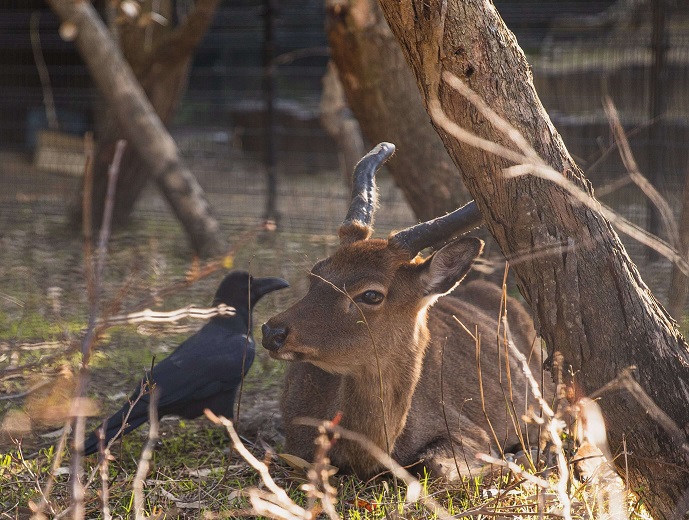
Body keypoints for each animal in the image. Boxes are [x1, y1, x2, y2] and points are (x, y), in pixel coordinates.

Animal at [260, 142, 552, 480]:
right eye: (316, 273)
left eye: (371, 294)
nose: (272, 331)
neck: (369, 455)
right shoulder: (295, 444)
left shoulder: (471, 431)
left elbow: (437, 465)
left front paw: (517, 460)